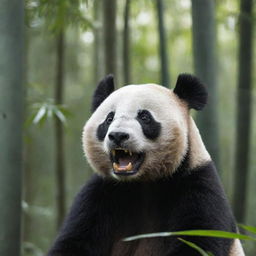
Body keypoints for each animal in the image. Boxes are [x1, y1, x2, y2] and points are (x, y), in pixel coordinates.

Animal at [47, 74, 244, 256]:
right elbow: (75, 241)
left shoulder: (198, 184)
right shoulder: (101, 193)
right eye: (109, 118)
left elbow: (197, 240)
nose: (118, 135)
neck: (142, 183)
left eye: (144, 117)